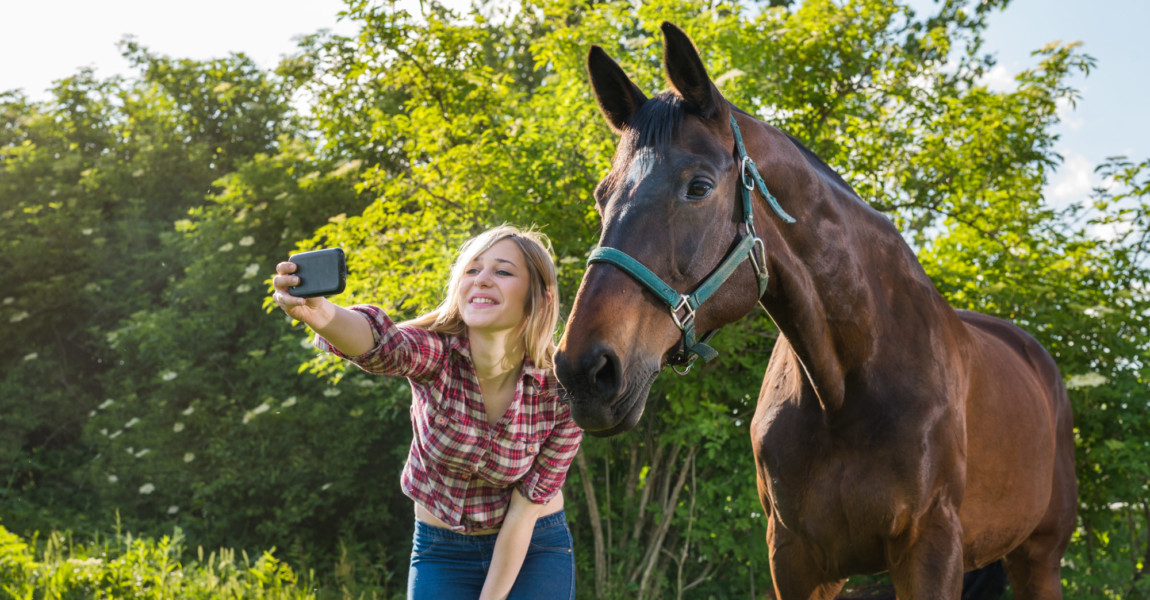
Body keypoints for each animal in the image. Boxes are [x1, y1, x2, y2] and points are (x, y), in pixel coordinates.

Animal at [554, 20, 1076, 593]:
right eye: (602, 196)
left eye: (699, 187)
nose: (584, 368)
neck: (848, 386)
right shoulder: (795, 559)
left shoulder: (930, 549)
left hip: (1038, 558)